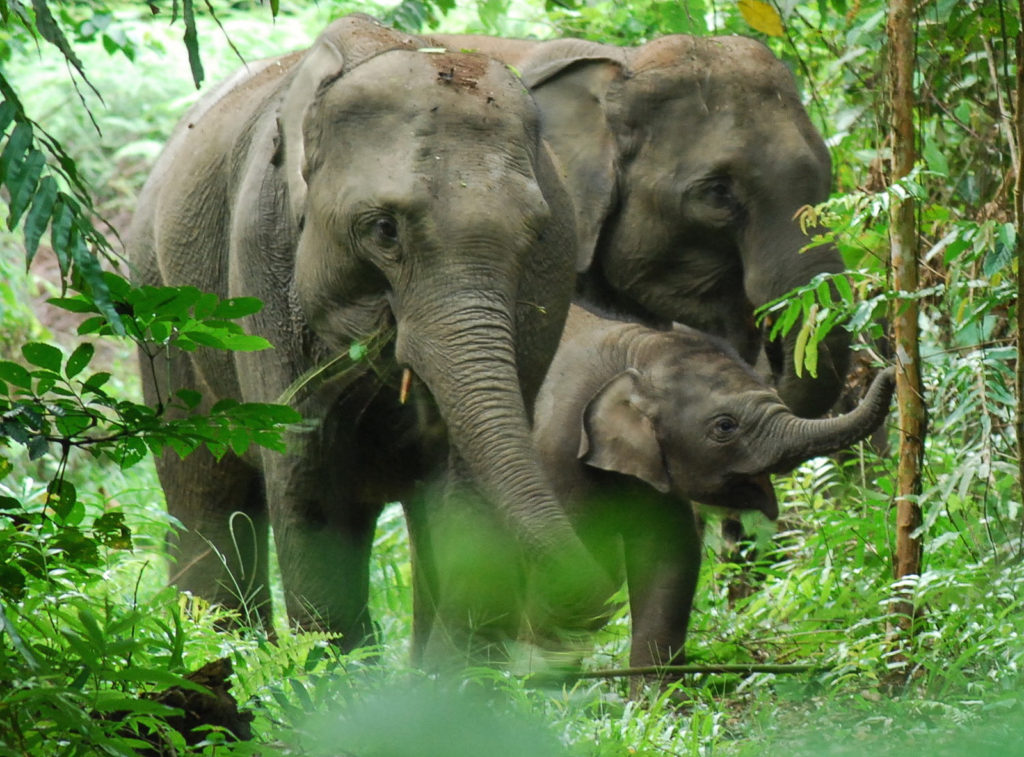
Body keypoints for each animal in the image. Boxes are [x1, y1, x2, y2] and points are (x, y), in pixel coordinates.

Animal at [127, 14, 612, 653]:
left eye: (534, 235)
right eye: (385, 230)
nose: (591, 602)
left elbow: (466, 486)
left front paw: (453, 675)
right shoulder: (259, 261)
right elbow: (308, 473)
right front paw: (336, 669)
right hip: (158, 301)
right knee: (205, 486)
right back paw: (223, 645)